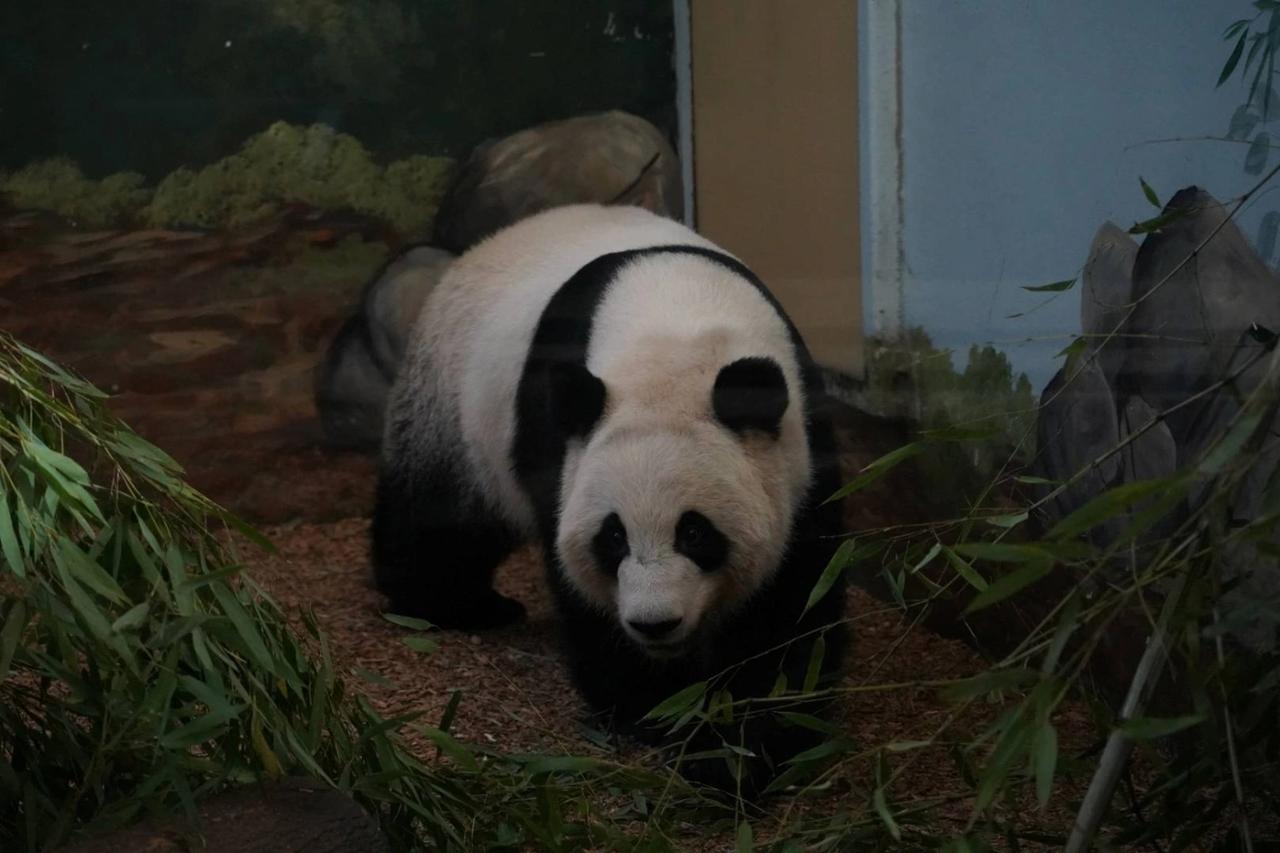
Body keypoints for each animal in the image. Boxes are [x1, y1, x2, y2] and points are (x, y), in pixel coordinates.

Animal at [372, 204, 847, 790]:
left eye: (695, 532)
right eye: (613, 536)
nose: (654, 624)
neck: (675, 331)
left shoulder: (798, 444)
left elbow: (791, 601)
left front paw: (743, 741)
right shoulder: (556, 439)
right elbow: (582, 591)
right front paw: (651, 707)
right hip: (451, 407)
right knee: (440, 523)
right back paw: (456, 605)